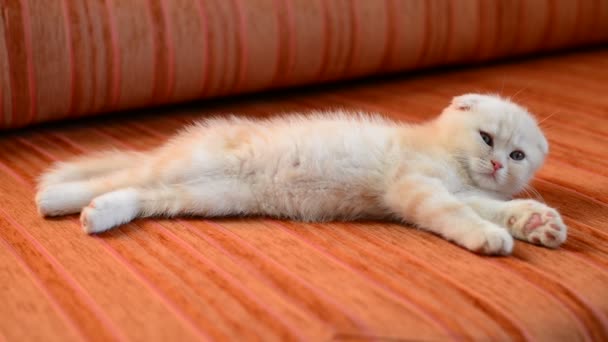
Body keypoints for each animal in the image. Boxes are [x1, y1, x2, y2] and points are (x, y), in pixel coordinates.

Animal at [36, 93, 568, 254]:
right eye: (486, 138)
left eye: (518, 155)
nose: (496, 164)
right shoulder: (415, 184)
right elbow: (455, 212)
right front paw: (488, 237)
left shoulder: (466, 190)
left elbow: (490, 205)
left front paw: (537, 222)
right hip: (196, 165)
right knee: (118, 178)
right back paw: (54, 199)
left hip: (203, 195)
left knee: (136, 193)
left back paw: (97, 215)